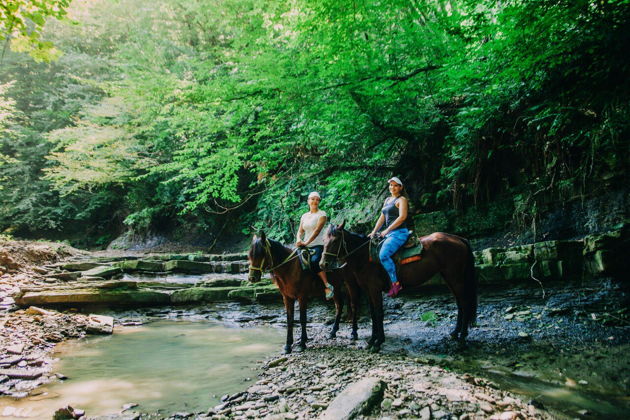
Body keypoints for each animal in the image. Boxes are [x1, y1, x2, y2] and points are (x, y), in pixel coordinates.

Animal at [320, 223, 478, 352]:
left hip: (455, 277)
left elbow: (378, 313)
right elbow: (373, 313)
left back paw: (462, 340)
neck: (365, 257)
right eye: (324, 241)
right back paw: (455, 333)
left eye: (335, 241)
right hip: (449, 277)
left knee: (464, 303)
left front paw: (378, 342)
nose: (323, 264)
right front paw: (372, 340)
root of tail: (459, 238)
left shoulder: (374, 289)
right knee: (459, 303)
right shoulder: (368, 290)